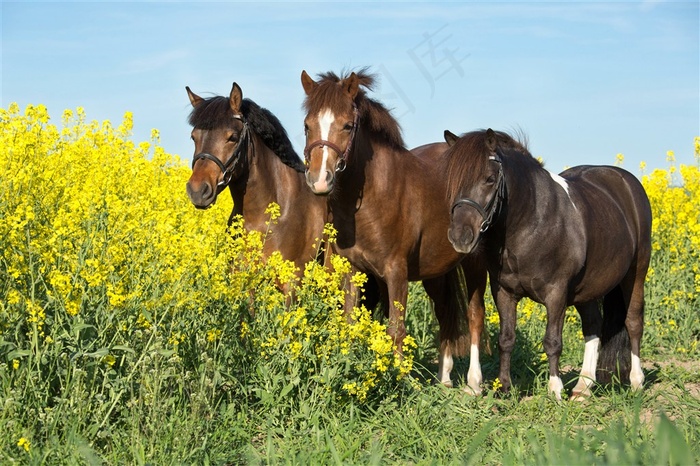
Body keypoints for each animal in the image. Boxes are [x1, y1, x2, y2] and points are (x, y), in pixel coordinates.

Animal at [304, 69, 490, 394]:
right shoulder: (353, 269)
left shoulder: (396, 270)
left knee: (475, 314)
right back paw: (444, 378)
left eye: (347, 125)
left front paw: (398, 379)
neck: (375, 194)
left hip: (474, 262)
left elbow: (396, 327)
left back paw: (473, 383)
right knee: (445, 313)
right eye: (307, 125)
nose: (319, 180)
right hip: (436, 270)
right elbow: (350, 322)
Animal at [442, 128, 652, 400]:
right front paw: (504, 388)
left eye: (489, 179)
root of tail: (627, 182)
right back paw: (583, 387)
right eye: (452, 181)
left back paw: (636, 382)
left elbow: (552, 342)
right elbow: (506, 339)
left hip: (636, 273)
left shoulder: (556, 293)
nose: (460, 237)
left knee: (634, 322)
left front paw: (554, 389)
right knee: (593, 326)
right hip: (587, 289)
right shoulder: (504, 292)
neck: (532, 221)